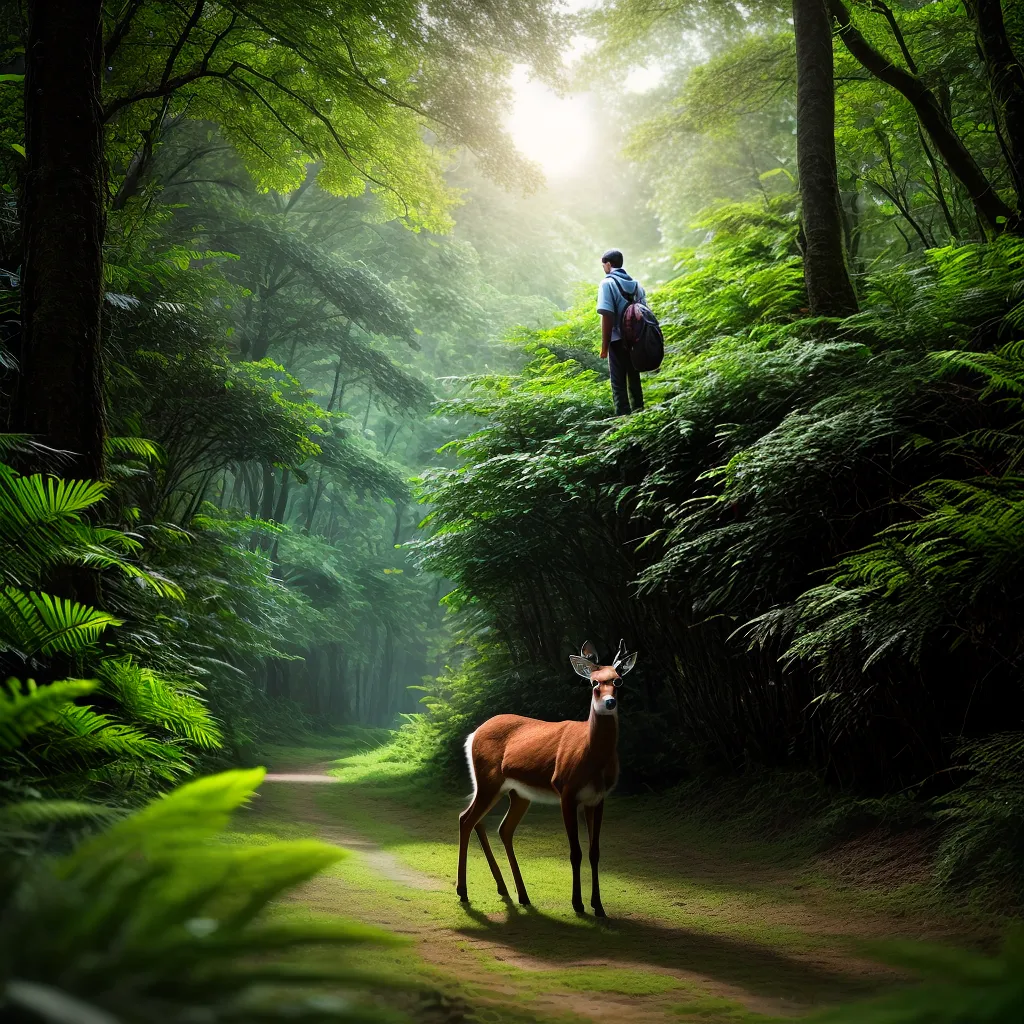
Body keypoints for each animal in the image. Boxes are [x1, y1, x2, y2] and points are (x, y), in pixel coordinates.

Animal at [456, 639, 637, 917]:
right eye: (593, 683)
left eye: (618, 681)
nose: (609, 703)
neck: (590, 755)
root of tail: (473, 734)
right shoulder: (566, 790)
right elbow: (575, 851)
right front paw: (578, 904)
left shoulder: (598, 798)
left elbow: (594, 851)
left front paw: (598, 906)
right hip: (488, 780)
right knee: (466, 819)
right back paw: (464, 892)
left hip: (516, 793)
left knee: (499, 827)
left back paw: (515, 893)